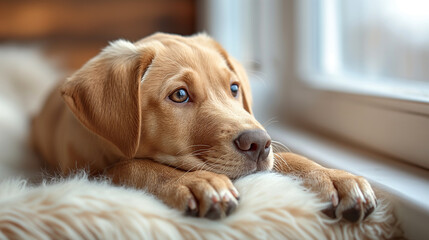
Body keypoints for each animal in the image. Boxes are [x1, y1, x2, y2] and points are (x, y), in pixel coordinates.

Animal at [31, 32, 374, 221]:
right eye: (180, 95)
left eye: (234, 89)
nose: (259, 143)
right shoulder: (88, 171)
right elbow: (133, 165)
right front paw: (195, 182)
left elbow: (289, 158)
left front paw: (333, 178)